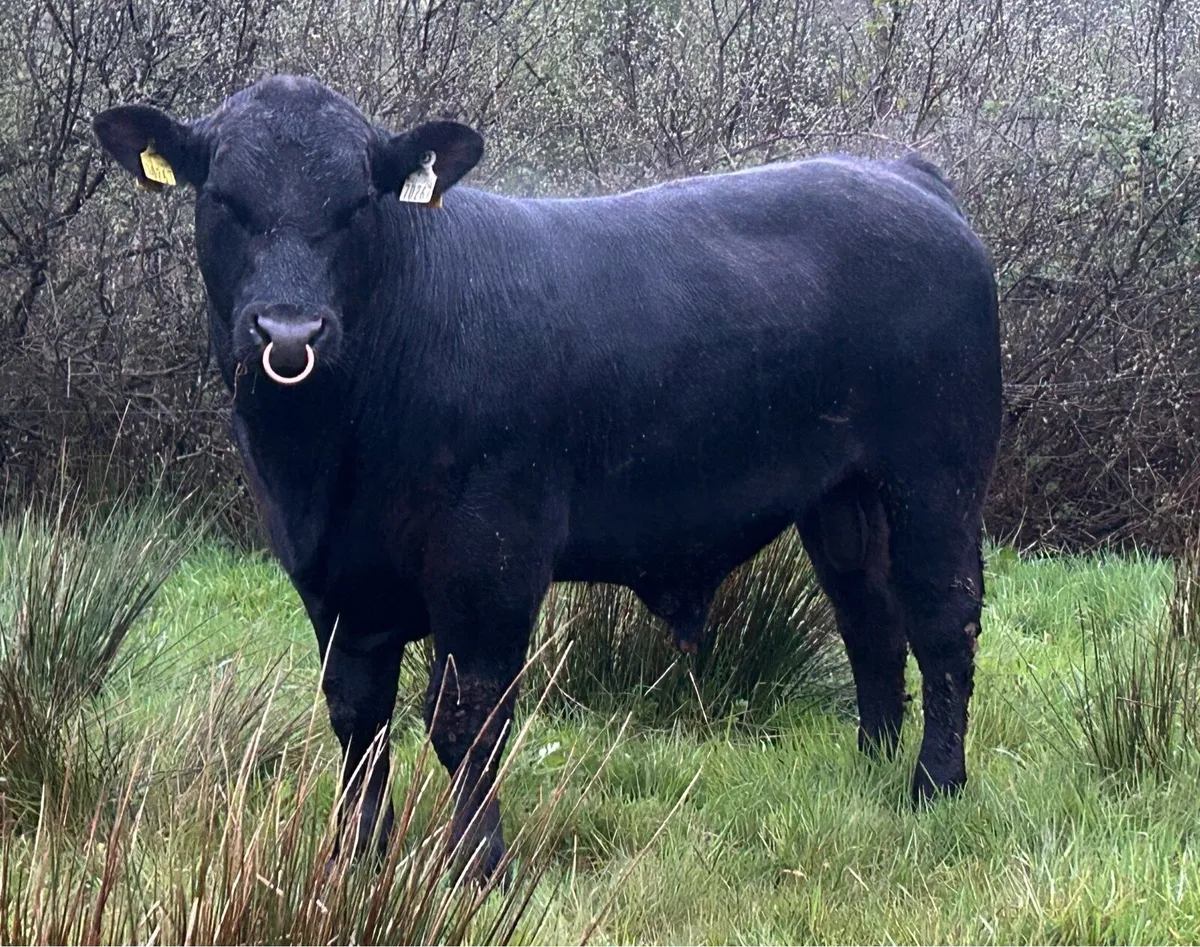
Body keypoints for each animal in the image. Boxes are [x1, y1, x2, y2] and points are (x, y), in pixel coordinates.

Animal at [93, 75, 1003, 878]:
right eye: (224, 199)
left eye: (357, 204)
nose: (288, 331)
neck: (327, 453)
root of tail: (903, 176)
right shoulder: (332, 577)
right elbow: (358, 717)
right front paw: (353, 860)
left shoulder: (491, 552)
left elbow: (467, 716)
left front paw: (477, 865)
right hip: (842, 499)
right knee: (869, 621)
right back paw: (869, 770)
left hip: (937, 478)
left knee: (942, 621)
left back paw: (933, 785)